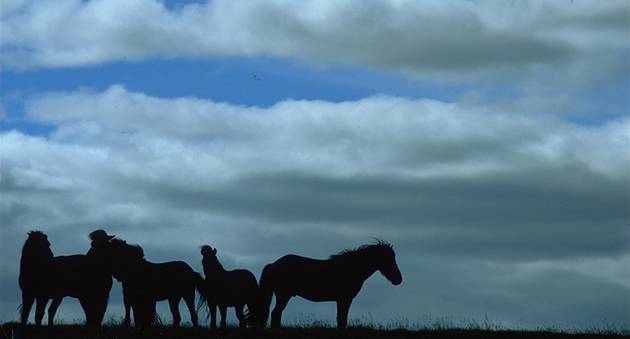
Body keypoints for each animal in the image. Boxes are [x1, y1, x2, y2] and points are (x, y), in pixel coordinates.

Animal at [260, 239, 402, 330]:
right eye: (387, 259)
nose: (398, 279)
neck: (351, 268)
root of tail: (273, 264)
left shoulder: (342, 300)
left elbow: (341, 319)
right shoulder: (344, 299)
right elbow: (342, 320)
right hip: (284, 295)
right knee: (276, 314)